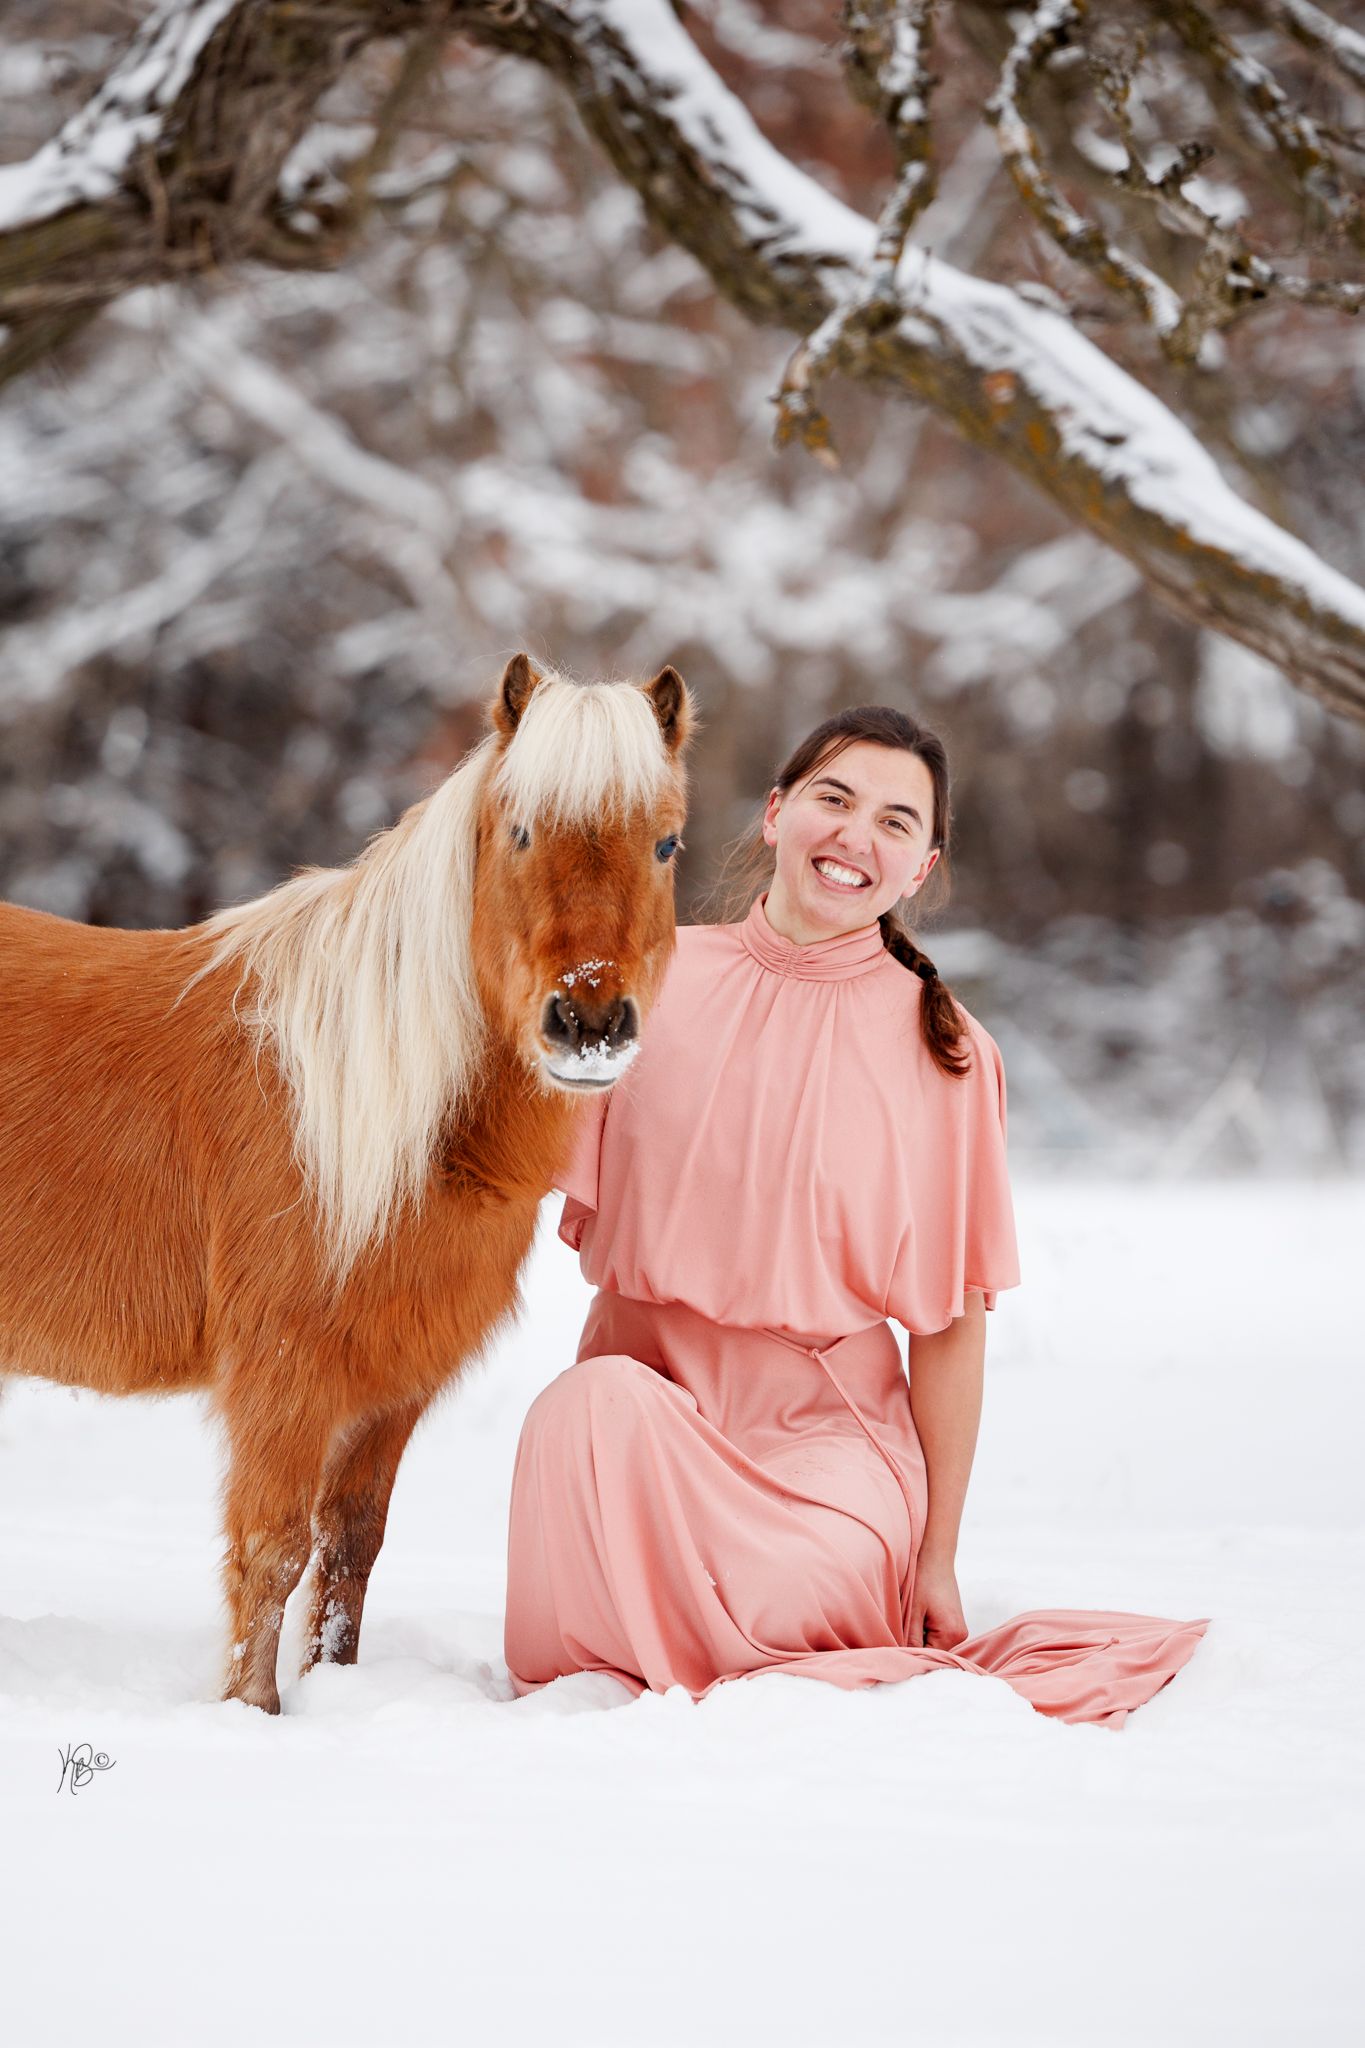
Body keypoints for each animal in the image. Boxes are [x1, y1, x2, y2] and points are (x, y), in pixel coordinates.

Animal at [0, 653, 694, 1712]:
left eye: (664, 842)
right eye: (520, 830)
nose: (589, 1024)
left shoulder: (386, 1389)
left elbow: (349, 1552)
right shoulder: (282, 1380)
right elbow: (272, 1554)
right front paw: (252, 1716)